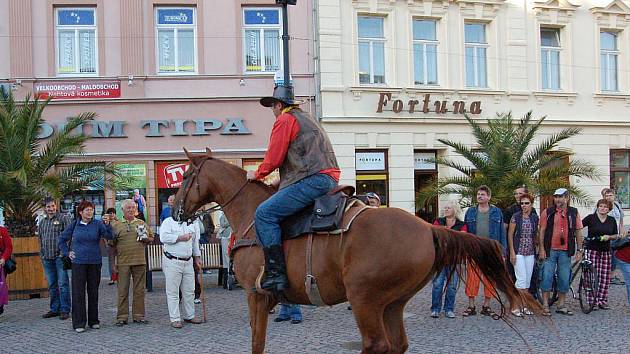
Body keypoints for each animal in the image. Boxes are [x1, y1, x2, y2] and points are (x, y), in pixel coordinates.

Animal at [174, 150, 544, 354]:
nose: (175, 209)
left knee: (376, 345)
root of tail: (427, 227)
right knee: (397, 345)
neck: (252, 213)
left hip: (365, 299)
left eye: (187, 174)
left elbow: (256, 343)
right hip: (392, 304)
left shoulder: (255, 295)